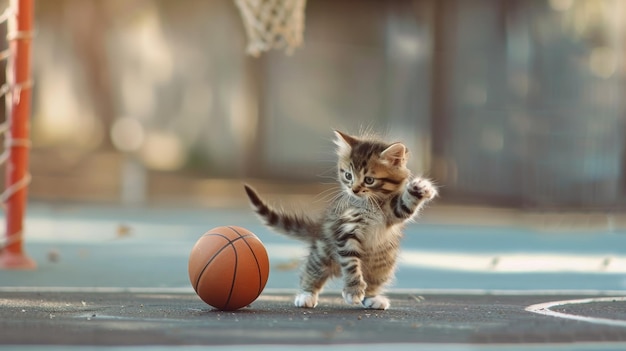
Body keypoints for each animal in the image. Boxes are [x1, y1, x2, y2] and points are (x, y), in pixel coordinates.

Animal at [241, 131, 436, 310]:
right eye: (348, 176)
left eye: (369, 180)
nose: (354, 190)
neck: (368, 204)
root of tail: (318, 228)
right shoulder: (346, 229)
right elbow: (351, 264)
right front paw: (353, 290)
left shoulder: (393, 212)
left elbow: (405, 206)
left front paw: (420, 188)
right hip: (322, 252)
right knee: (311, 270)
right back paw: (306, 295)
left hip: (384, 263)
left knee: (374, 281)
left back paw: (373, 298)